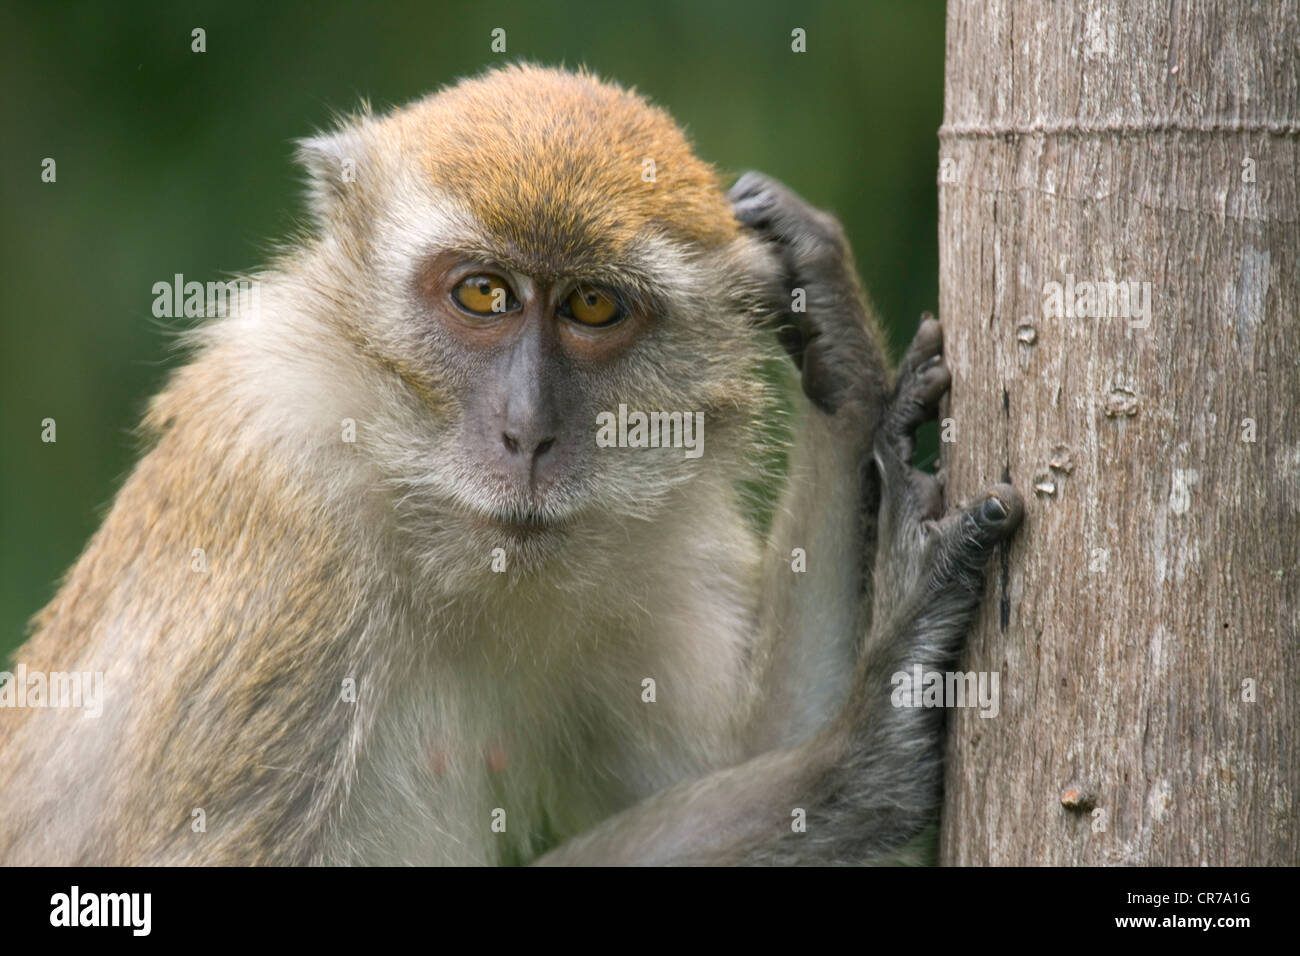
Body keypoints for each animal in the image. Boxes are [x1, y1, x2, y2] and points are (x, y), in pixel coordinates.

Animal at [0, 63, 1013, 863]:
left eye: (593, 306)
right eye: (484, 294)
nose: (527, 431)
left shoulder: (641, 549)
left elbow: (731, 753)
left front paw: (849, 374)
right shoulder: (288, 532)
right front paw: (860, 750)